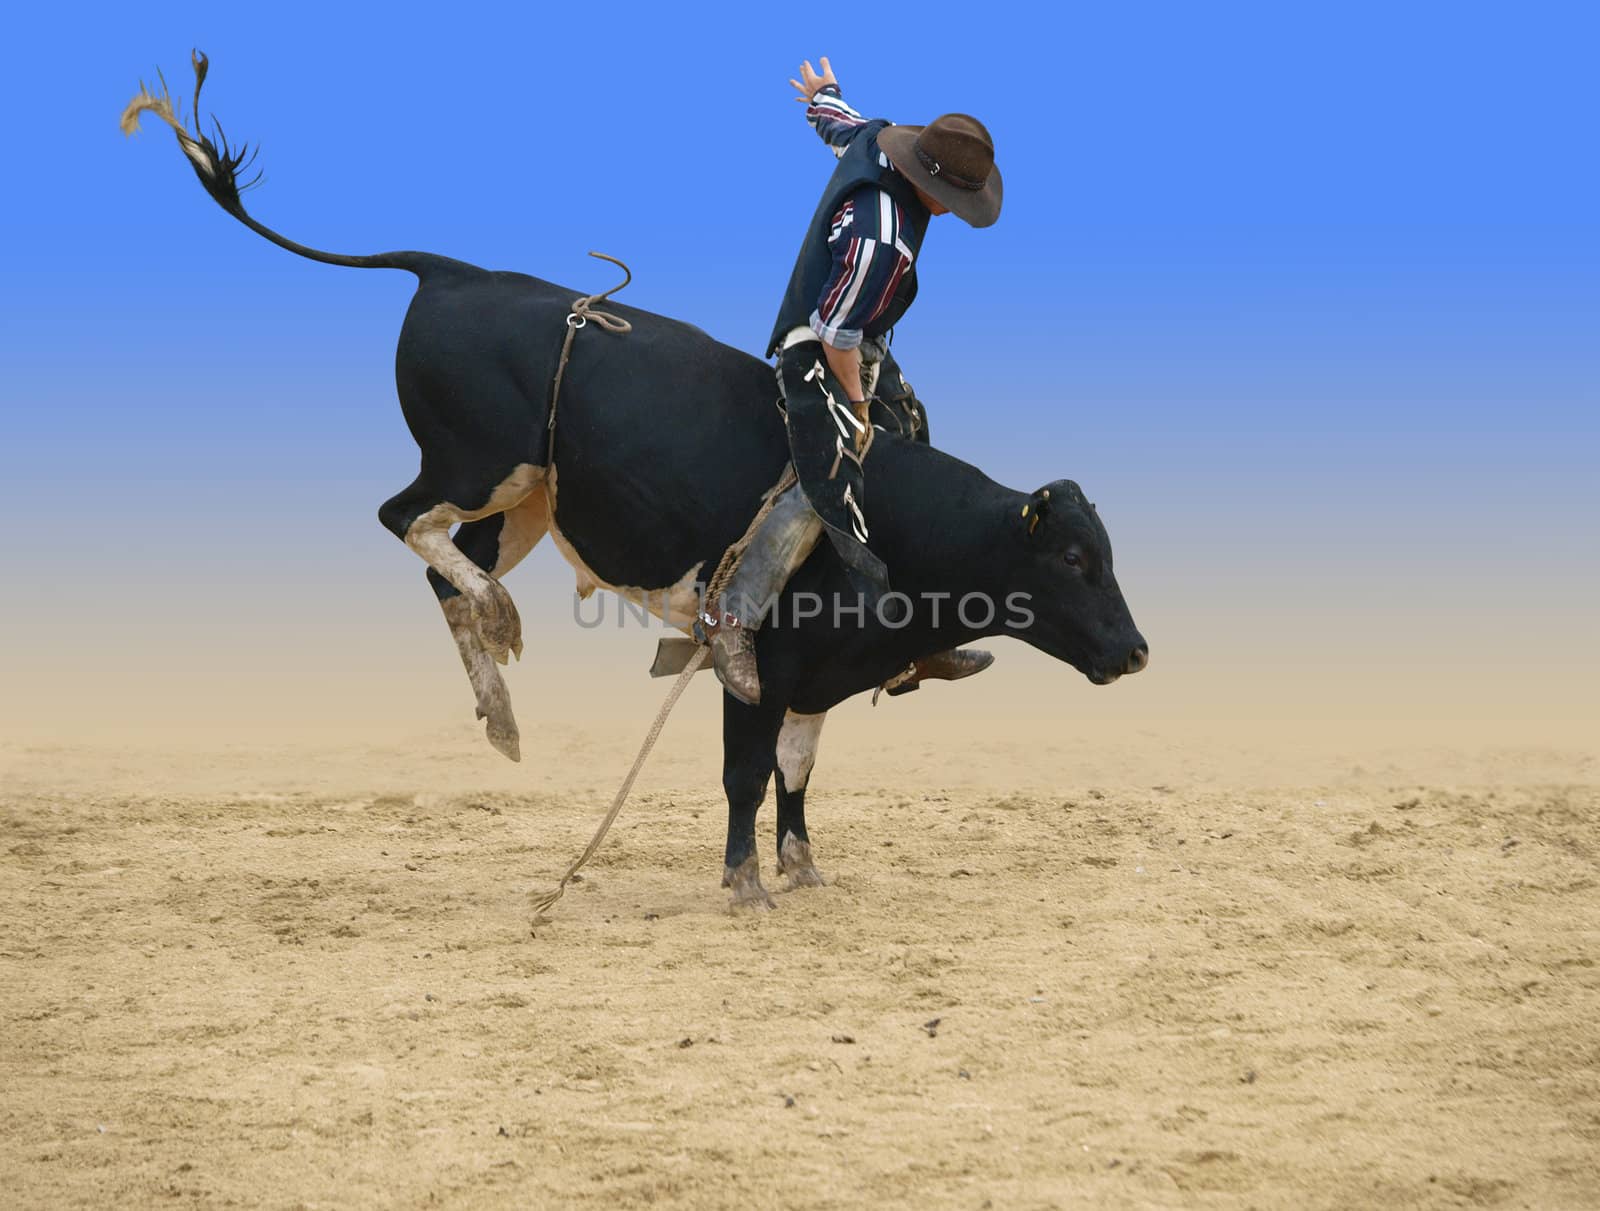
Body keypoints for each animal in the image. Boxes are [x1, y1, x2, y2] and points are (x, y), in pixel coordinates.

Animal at [128, 59, 1152, 908]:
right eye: (1071, 557)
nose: (1139, 652)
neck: (890, 531)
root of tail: (454, 273)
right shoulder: (763, 665)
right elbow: (748, 770)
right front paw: (745, 882)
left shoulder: (821, 678)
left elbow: (797, 770)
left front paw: (802, 866)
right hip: (477, 463)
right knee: (403, 519)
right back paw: (501, 619)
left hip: (524, 503)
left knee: (439, 565)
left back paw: (500, 705)